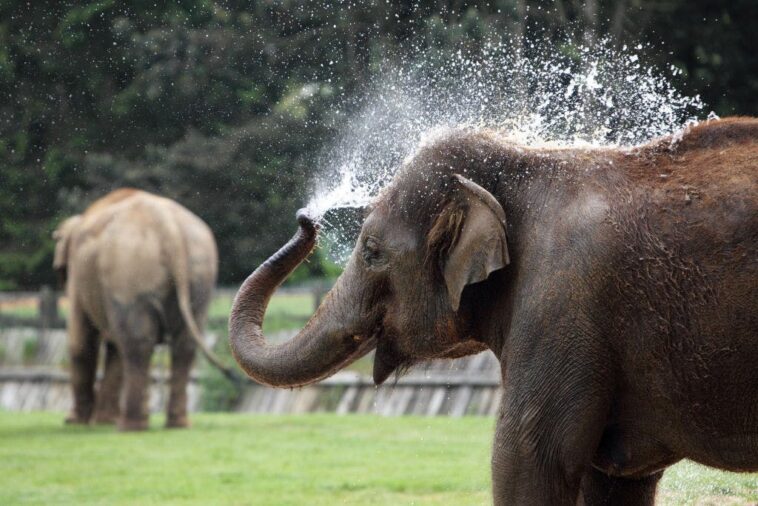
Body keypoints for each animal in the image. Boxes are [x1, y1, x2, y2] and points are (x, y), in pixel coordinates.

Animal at [54, 188, 232, 431]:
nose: (70, 419)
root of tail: (167, 225)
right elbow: (112, 346)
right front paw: (101, 421)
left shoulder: (79, 276)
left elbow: (80, 342)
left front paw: (75, 422)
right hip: (200, 270)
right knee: (183, 344)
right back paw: (175, 424)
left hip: (129, 270)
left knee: (136, 342)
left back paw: (129, 426)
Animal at [229, 116, 757, 504]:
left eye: (372, 252)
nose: (307, 218)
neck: (527, 160)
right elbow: (612, 480)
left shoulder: (562, 305)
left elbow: (525, 460)